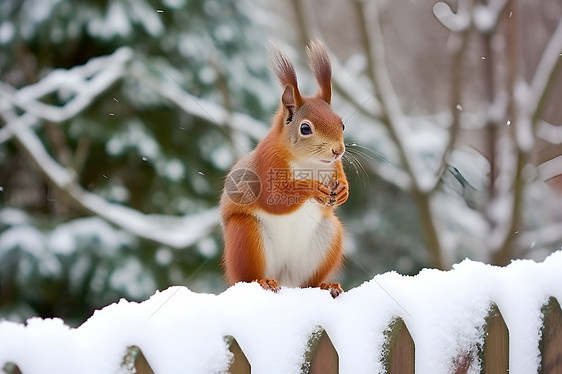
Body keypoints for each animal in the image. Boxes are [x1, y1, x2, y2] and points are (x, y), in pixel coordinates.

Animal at [219, 40, 346, 298]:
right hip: (246, 235)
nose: (338, 150)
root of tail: (285, 279)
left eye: (342, 124)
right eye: (305, 128)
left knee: (308, 283)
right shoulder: (266, 163)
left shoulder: (334, 167)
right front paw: (313, 189)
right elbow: (274, 199)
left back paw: (326, 285)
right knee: (247, 278)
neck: (308, 163)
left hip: (329, 236)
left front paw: (344, 190)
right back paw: (264, 281)